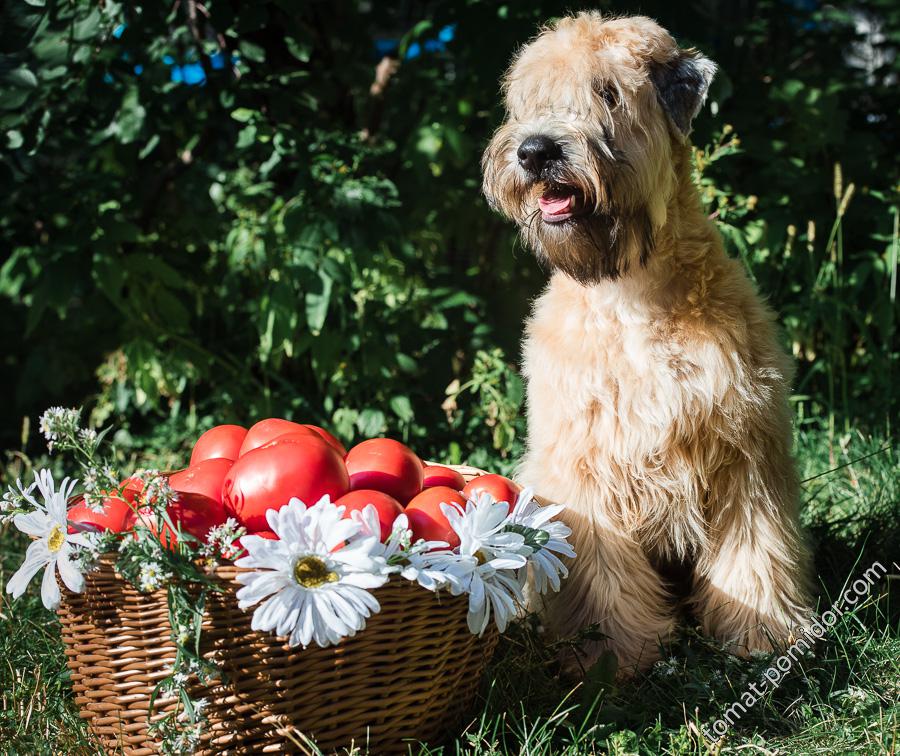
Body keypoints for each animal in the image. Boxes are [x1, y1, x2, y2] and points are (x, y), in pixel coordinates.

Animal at [486, 11, 816, 672]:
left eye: (608, 94)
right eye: (530, 100)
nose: (535, 151)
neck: (631, 296)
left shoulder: (744, 454)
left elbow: (754, 554)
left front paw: (763, 637)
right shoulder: (583, 466)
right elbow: (602, 576)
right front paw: (613, 656)